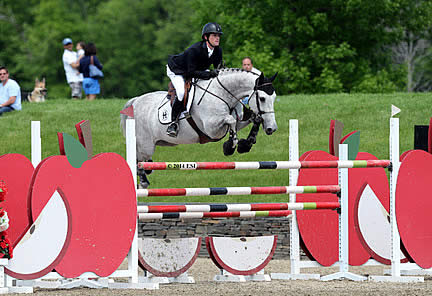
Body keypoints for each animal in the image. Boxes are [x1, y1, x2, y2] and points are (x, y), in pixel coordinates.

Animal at [120, 68, 278, 187]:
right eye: (262, 98)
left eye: (274, 97)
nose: (272, 129)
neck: (222, 94)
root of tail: (135, 101)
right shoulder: (211, 128)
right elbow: (231, 120)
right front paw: (230, 146)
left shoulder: (238, 121)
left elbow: (255, 118)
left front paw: (246, 144)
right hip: (146, 146)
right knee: (139, 160)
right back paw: (143, 181)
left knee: (142, 161)